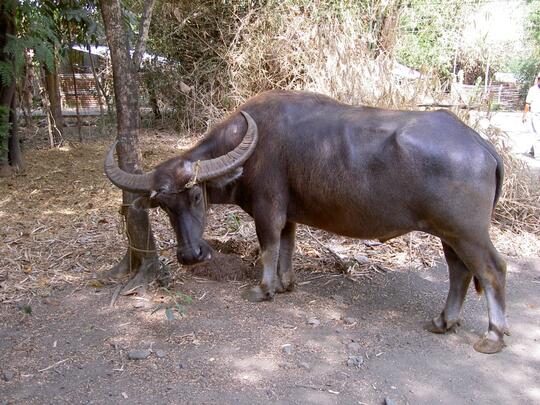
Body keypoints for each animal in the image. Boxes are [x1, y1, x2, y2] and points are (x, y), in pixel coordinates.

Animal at [104, 90, 506, 352]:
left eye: (196, 195)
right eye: (163, 206)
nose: (190, 255)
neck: (249, 149)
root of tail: (481, 145)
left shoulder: (268, 208)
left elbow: (267, 246)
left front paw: (263, 289)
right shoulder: (289, 215)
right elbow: (287, 246)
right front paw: (285, 284)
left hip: (466, 232)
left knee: (491, 269)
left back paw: (493, 336)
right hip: (449, 233)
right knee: (459, 271)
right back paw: (443, 321)